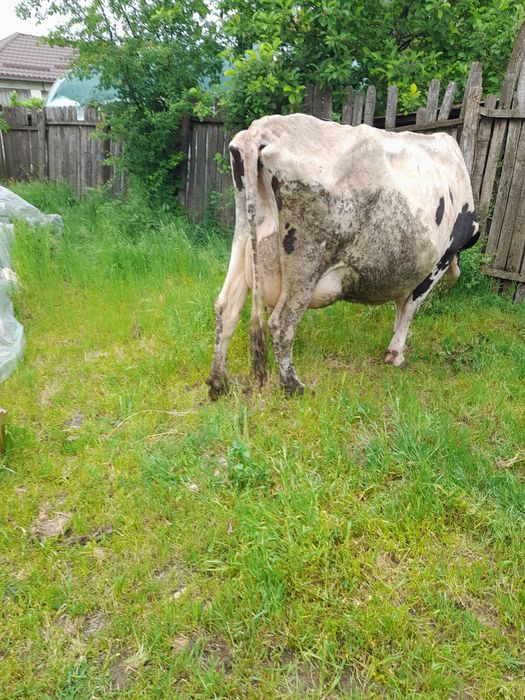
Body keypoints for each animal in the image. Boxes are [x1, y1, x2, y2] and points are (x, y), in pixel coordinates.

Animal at [206, 113, 479, 399]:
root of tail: (261, 130)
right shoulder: (439, 261)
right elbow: (410, 308)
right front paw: (396, 354)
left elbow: (400, 306)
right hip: (306, 263)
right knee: (281, 322)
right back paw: (293, 386)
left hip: (244, 239)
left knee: (226, 307)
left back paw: (218, 384)